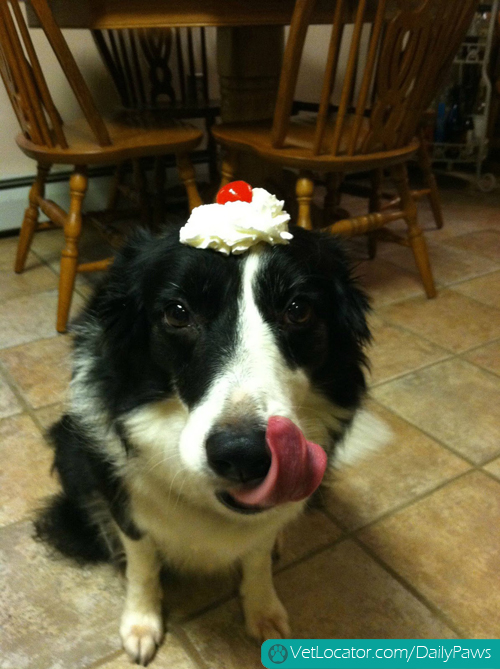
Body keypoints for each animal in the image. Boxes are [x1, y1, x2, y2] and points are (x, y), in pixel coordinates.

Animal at [36, 223, 372, 664]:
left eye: (299, 309)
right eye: (178, 313)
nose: (243, 454)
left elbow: (258, 556)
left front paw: (263, 609)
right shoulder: (126, 501)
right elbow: (142, 561)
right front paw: (141, 622)